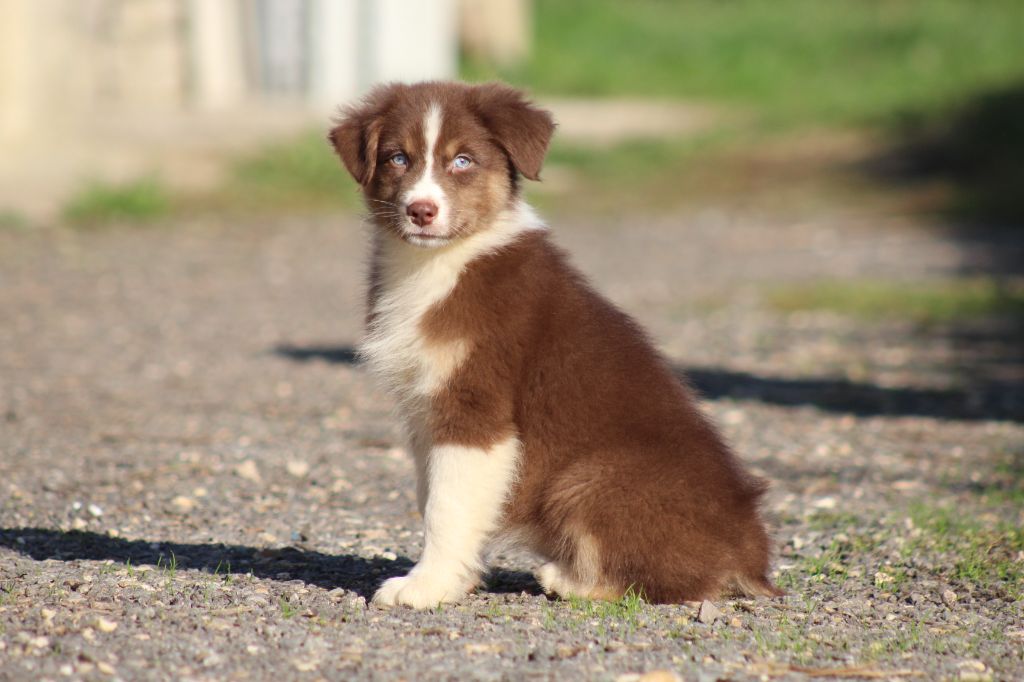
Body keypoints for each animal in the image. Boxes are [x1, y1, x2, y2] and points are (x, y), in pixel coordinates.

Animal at [331, 79, 778, 606]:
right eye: (398, 158)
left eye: (463, 160)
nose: (421, 210)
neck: (440, 264)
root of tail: (749, 557)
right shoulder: (425, 410)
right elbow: (433, 495)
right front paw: (456, 578)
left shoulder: (477, 406)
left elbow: (446, 505)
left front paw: (426, 585)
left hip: (587, 476)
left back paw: (567, 579)